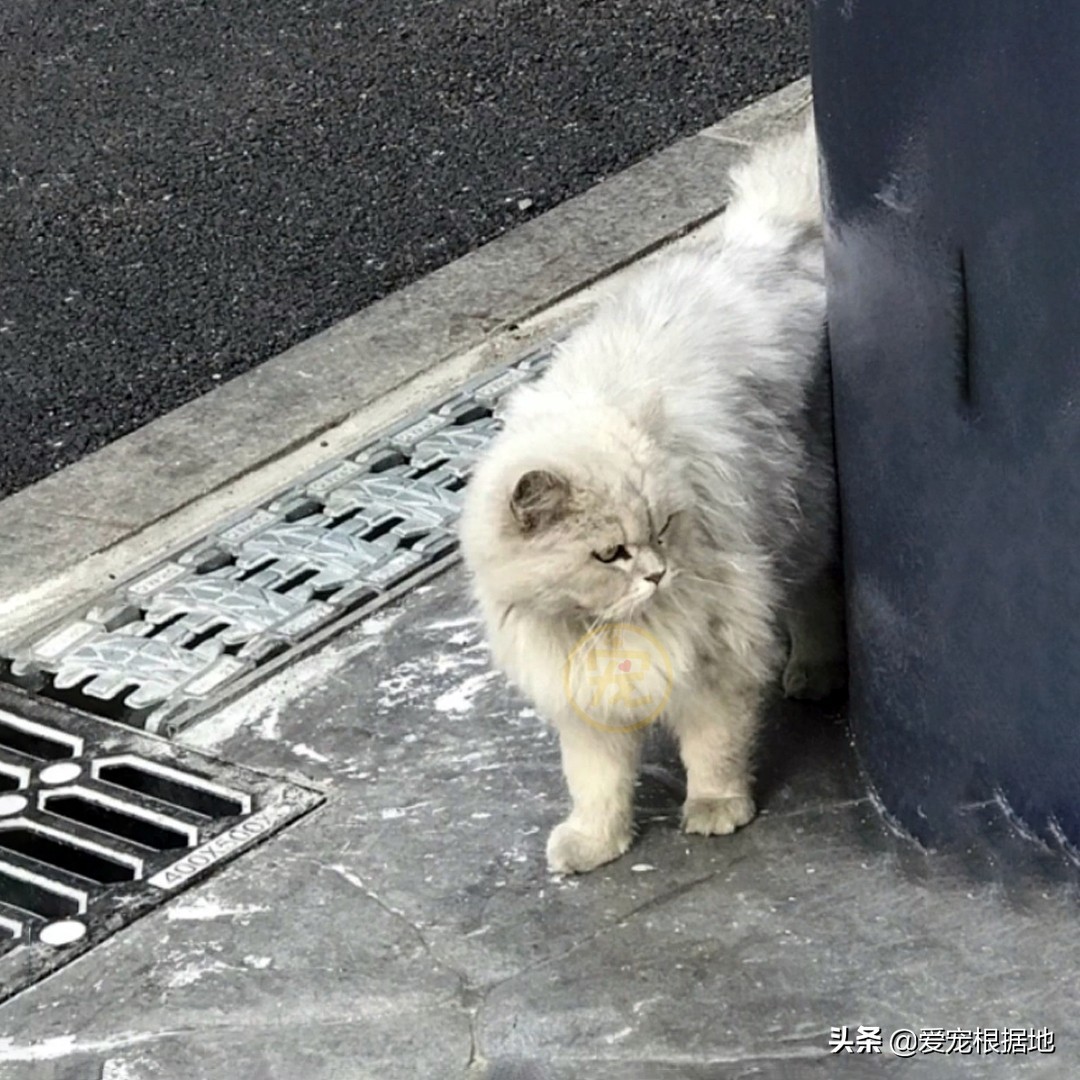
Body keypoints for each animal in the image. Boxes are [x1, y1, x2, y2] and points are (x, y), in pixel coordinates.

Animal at [455, 116, 842, 876]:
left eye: (662, 529)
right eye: (610, 554)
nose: (659, 574)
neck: (599, 626)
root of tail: (768, 234)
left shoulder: (715, 654)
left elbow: (714, 748)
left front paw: (717, 810)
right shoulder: (584, 699)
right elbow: (597, 784)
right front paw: (594, 844)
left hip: (805, 513)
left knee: (815, 598)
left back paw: (812, 671)